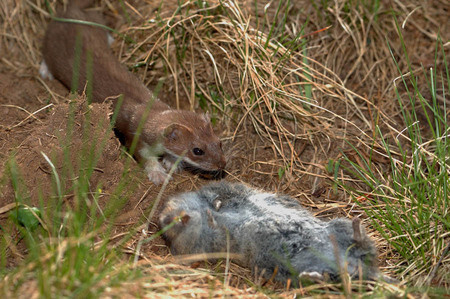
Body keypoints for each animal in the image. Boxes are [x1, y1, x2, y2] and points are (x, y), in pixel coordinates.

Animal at [40, 0, 227, 185]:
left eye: (219, 142)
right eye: (197, 150)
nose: (222, 164)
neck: (148, 108)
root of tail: (69, 10)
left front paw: (172, 162)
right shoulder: (134, 137)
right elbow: (145, 158)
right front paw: (159, 175)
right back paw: (45, 70)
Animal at [161, 182, 390, 284]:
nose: (165, 219)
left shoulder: (229, 190)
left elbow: (220, 196)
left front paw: (213, 209)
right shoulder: (201, 245)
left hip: (337, 227)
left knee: (363, 247)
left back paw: (357, 226)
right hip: (280, 267)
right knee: (324, 276)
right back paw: (315, 275)